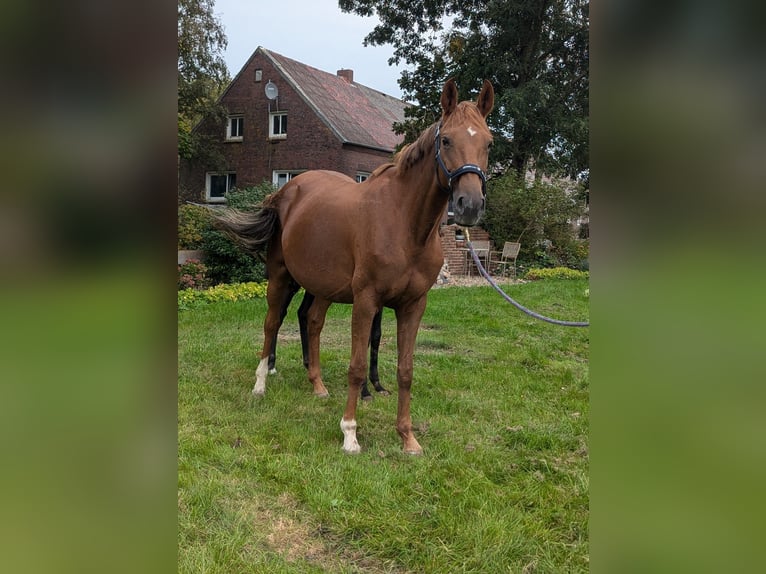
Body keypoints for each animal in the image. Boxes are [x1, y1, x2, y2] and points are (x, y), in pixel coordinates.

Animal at [218, 79, 492, 454]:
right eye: (447, 140)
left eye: (489, 142)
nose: (470, 205)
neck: (405, 225)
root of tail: (285, 190)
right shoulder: (366, 301)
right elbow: (358, 365)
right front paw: (350, 432)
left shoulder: (413, 305)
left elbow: (405, 370)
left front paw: (407, 437)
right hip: (280, 277)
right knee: (272, 323)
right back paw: (260, 384)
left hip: (322, 286)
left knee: (313, 322)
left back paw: (318, 385)